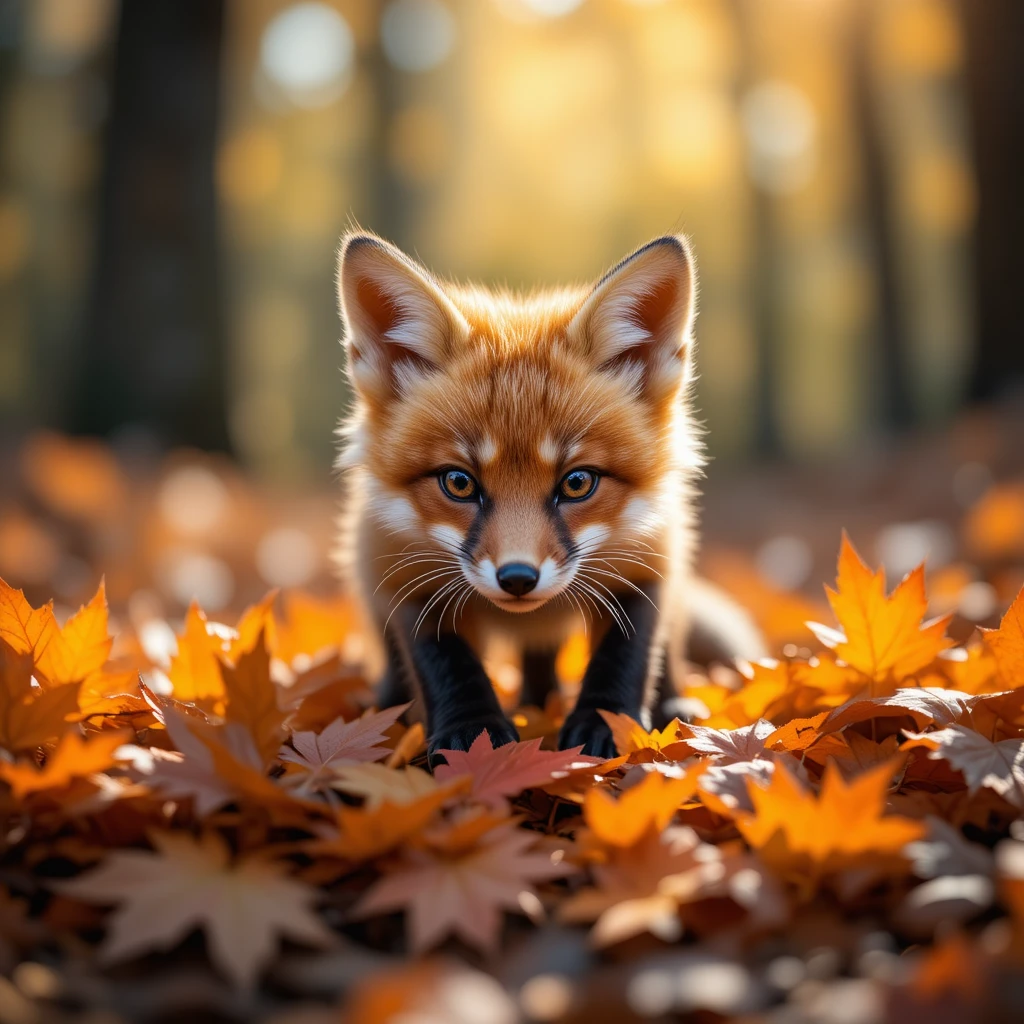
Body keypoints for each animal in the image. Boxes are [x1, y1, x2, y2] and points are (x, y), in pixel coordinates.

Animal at [334, 232, 765, 762]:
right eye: (459, 482)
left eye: (577, 483)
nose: (518, 578)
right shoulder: (408, 576)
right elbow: (447, 665)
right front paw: (472, 733)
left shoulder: (646, 565)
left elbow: (626, 656)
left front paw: (605, 725)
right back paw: (396, 708)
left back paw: (665, 703)